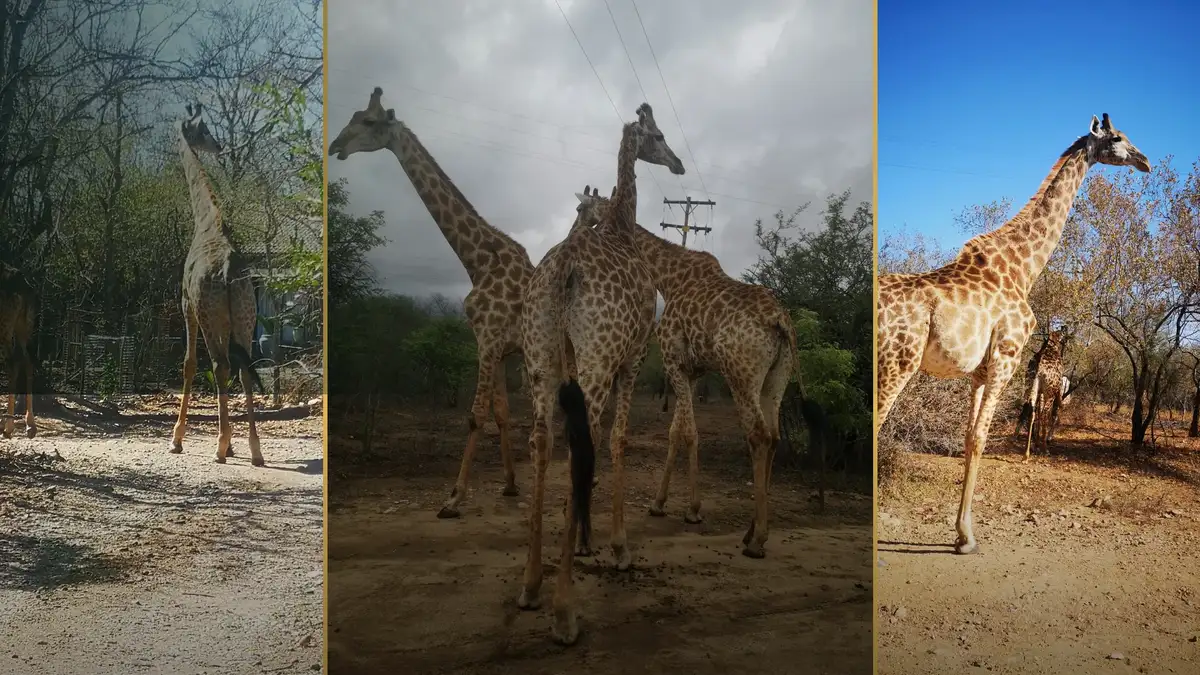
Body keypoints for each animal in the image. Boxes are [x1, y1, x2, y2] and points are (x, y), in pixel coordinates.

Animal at [170, 102, 265, 466]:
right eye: (205, 130)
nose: (218, 145)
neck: (206, 221)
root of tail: (226, 272)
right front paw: (237, 445)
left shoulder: (186, 304)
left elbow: (188, 364)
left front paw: (177, 439)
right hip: (245, 315)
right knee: (243, 369)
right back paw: (254, 451)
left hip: (210, 316)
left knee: (220, 365)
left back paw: (220, 447)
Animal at [328, 87, 533, 517]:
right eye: (352, 116)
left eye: (368, 122)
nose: (336, 145)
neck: (477, 259)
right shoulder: (496, 346)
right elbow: (502, 414)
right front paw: (509, 485)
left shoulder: (488, 341)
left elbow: (475, 416)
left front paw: (453, 499)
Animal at [517, 103, 684, 645]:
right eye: (658, 135)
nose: (678, 164)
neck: (621, 228)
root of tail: (564, 265)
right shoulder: (629, 360)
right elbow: (617, 440)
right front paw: (618, 548)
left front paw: (587, 543)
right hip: (594, 357)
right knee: (582, 442)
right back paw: (564, 611)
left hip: (541, 361)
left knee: (544, 442)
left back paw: (531, 587)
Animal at [584, 192, 827, 557]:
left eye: (585, 209)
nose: (585, 231)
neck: (668, 278)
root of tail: (781, 322)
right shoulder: (693, 370)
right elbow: (676, 431)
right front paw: (659, 503)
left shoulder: (673, 359)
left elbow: (688, 432)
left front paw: (693, 510)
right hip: (776, 378)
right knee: (774, 436)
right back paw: (751, 530)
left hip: (741, 374)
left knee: (759, 435)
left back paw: (757, 540)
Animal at [876, 113, 1150, 555]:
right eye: (1118, 138)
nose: (1145, 161)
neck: (1023, 269)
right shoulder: (1007, 356)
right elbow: (981, 437)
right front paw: (968, 538)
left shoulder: (979, 371)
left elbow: (969, 437)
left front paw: (960, 533)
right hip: (898, 361)